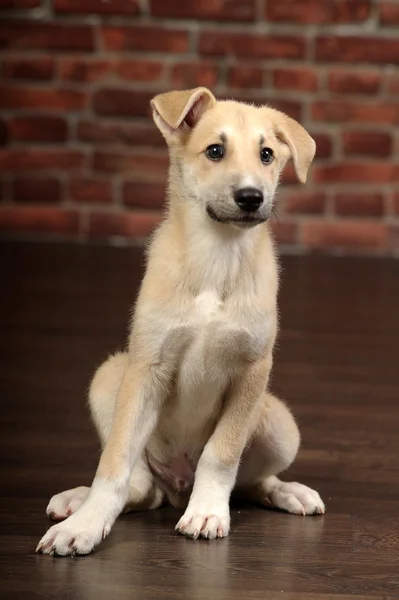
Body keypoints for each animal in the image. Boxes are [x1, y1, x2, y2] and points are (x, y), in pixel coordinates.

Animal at [36, 86, 324, 556]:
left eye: (266, 154)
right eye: (215, 150)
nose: (251, 197)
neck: (216, 257)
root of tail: (175, 487)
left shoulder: (252, 372)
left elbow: (221, 455)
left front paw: (207, 512)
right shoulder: (147, 366)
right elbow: (114, 462)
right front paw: (85, 525)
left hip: (281, 424)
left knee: (251, 482)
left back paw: (286, 491)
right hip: (109, 377)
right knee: (140, 487)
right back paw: (78, 500)